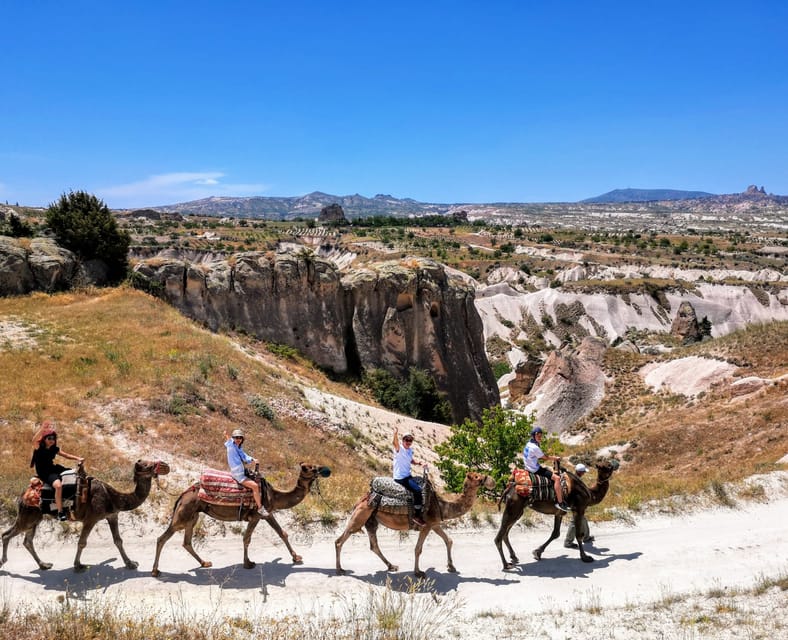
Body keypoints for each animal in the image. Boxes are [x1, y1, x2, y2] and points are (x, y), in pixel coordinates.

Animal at [0, 458, 170, 572]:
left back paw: (44, 565)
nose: (166, 465)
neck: (113, 497)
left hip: (35, 518)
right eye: (149, 465)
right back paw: (4, 562)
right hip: (28, 515)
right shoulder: (91, 519)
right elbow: (82, 542)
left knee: (27, 540)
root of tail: (23, 495)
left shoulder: (112, 515)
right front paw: (78, 565)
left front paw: (130, 564)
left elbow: (118, 540)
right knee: (7, 534)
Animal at [151, 460, 330, 576]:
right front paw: (248, 563)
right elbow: (247, 538)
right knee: (162, 538)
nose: (324, 469)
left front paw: (296, 557)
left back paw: (205, 563)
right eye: (309, 468)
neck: (274, 495)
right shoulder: (257, 515)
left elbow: (282, 533)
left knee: (187, 542)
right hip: (183, 515)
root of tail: (183, 494)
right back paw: (155, 571)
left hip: (192, 516)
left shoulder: (268, 513)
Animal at [336, 470, 496, 580]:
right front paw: (418, 572)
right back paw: (340, 570)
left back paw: (391, 566)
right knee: (340, 540)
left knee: (374, 545)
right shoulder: (426, 525)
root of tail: (364, 497)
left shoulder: (434, 524)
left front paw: (451, 567)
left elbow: (448, 540)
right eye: (477, 477)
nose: (491, 480)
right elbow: (418, 549)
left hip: (371, 519)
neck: (441, 505)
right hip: (360, 515)